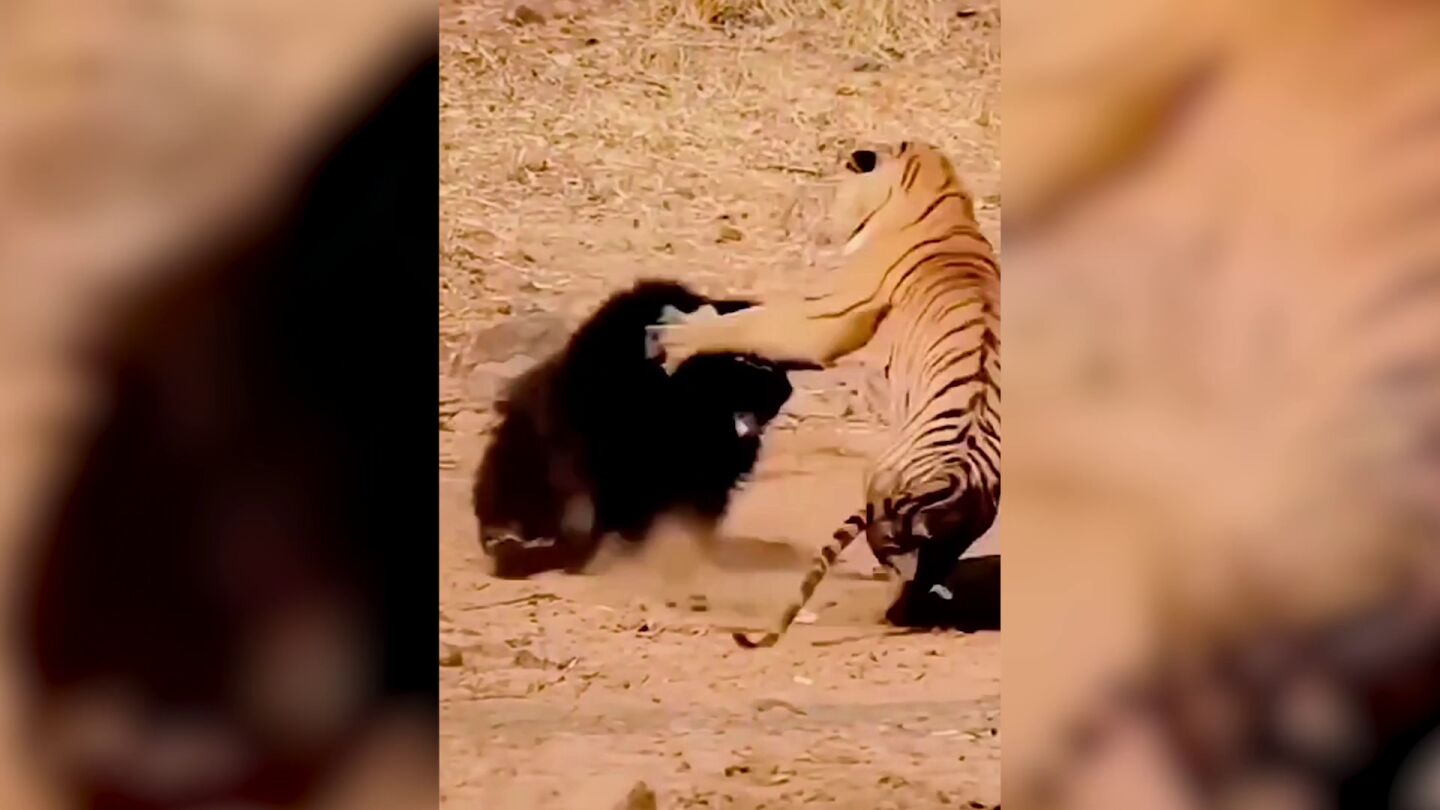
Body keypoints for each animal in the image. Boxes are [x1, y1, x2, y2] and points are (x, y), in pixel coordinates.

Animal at [648, 141, 1000, 647]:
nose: (822, 223)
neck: (939, 196)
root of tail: (955, 478)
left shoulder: (828, 315)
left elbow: (750, 323)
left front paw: (674, 335)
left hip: (881, 502)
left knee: (900, 571)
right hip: (957, 528)